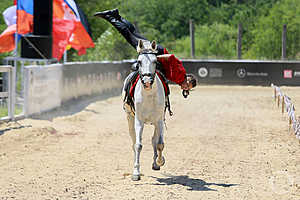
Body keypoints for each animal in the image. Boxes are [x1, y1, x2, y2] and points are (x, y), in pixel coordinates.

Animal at [123, 39, 168, 180]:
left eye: (155, 61)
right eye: (139, 62)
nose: (147, 81)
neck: (148, 95)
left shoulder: (159, 120)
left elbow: (159, 144)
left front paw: (159, 161)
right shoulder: (139, 120)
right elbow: (138, 145)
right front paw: (136, 172)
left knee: (155, 140)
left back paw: (156, 162)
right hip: (130, 118)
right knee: (134, 142)